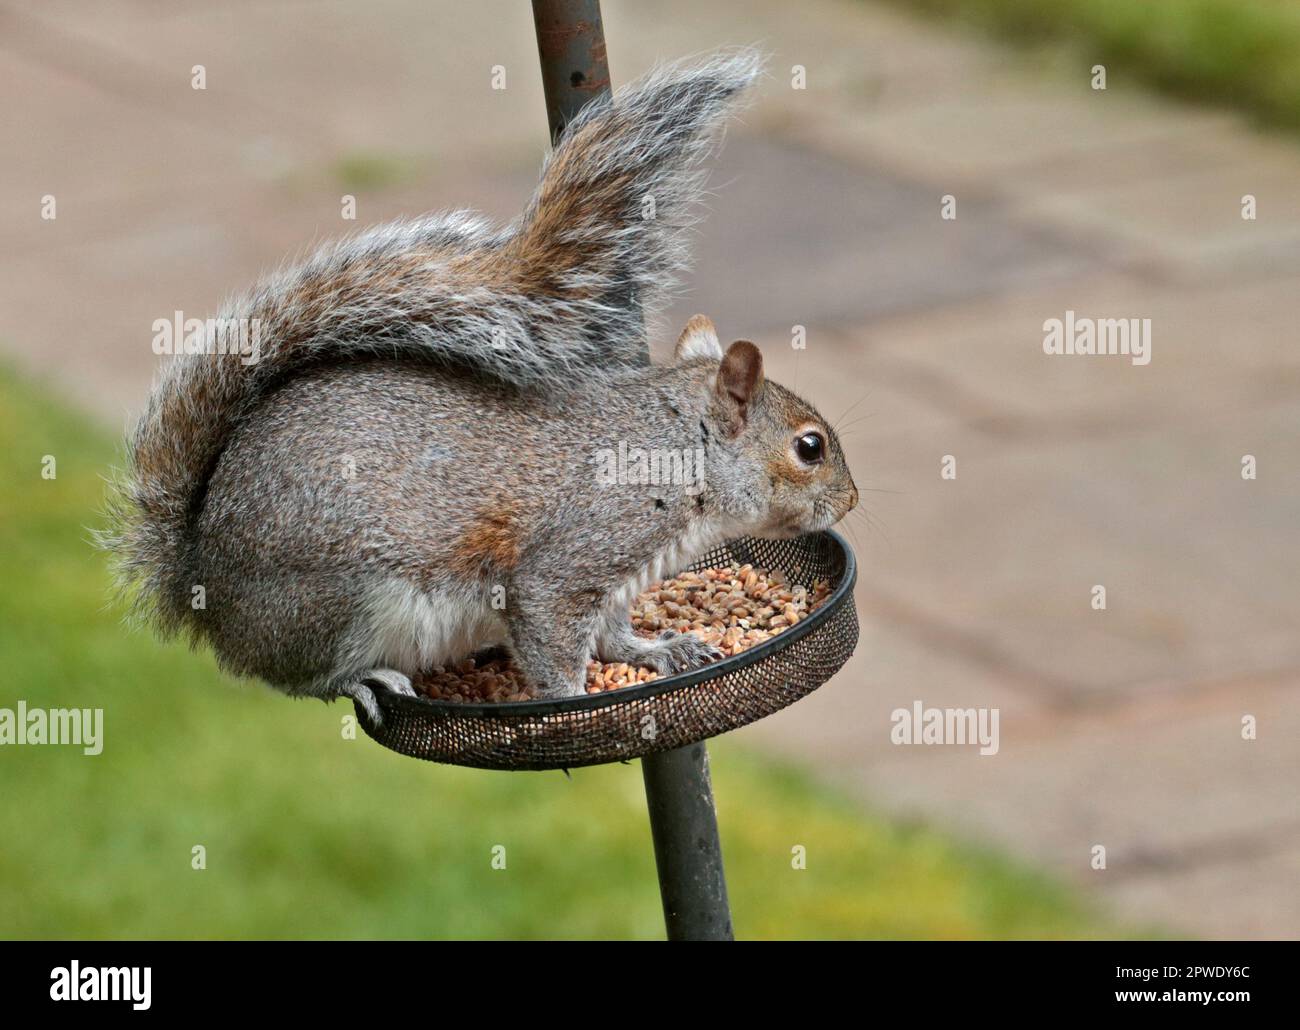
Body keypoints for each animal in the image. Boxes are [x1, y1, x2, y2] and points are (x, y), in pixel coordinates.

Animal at [104, 49, 859, 723]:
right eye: (810, 447)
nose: (851, 502)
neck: (681, 450)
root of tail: (197, 578)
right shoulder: (577, 552)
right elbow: (551, 630)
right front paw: (574, 700)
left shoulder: (616, 585)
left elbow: (613, 634)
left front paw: (659, 650)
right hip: (338, 600)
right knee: (296, 676)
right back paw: (360, 678)